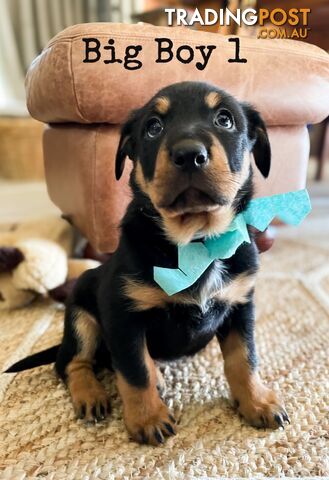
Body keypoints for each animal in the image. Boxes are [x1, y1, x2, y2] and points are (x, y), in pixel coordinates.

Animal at [7, 80, 288, 444]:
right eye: (154, 127)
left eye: (225, 120)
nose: (188, 154)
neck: (195, 240)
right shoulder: (123, 314)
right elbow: (134, 369)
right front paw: (148, 418)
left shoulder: (240, 303)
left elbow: (244, 357)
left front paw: (257, 402)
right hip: (81, 313)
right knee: (71, 362)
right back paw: (91, 396)